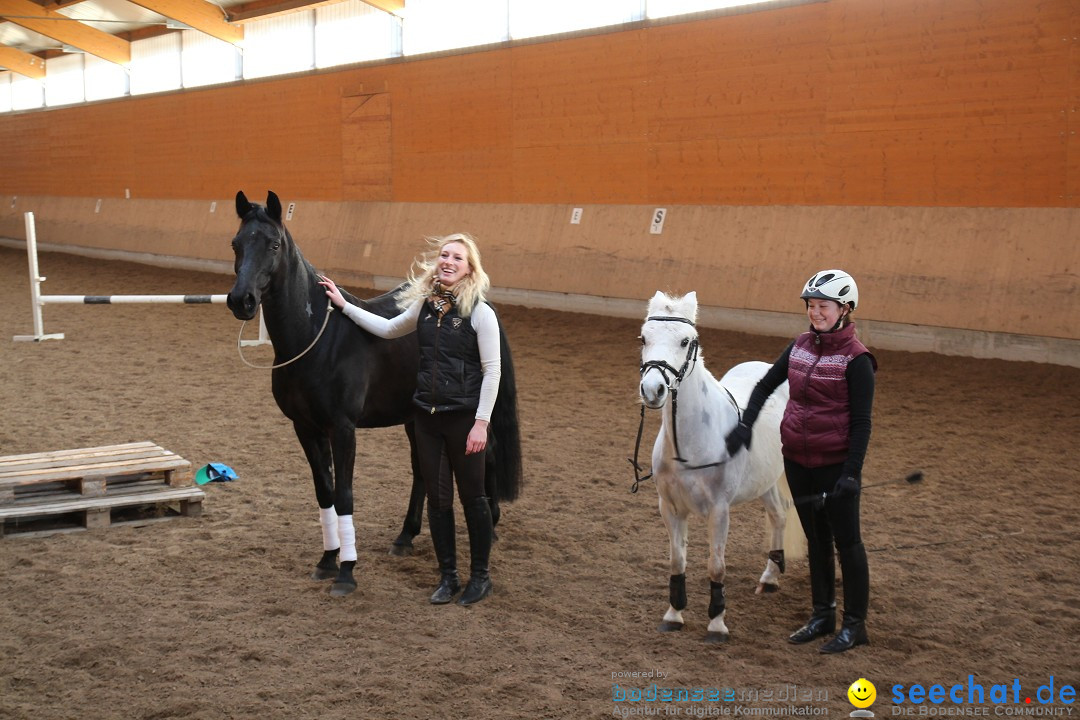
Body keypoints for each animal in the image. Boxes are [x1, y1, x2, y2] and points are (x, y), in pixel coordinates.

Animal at [225, 189, 520, 595]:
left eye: (273, 244)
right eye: (236, 243)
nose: (242, 300)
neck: (316, 340)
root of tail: (483, 305)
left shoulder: (342, 429)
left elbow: (345, 495)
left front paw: (347, 571)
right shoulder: (305, 428)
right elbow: (325, 493)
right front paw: (327, 560)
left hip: (470, 416)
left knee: (484, 453)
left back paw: (490, 522)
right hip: (414, 419)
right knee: (421, 470)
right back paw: (405, 537)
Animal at [630, 291, 803, 643]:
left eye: (685, 341)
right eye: (644, 338)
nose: (653, 390)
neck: (690, 444)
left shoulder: (719, 510)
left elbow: (716, 565)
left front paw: (717, 624)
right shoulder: (670, 507)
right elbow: (677, 560)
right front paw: (674, 615)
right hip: (764, 482)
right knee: (778, 516)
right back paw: (769, 578)